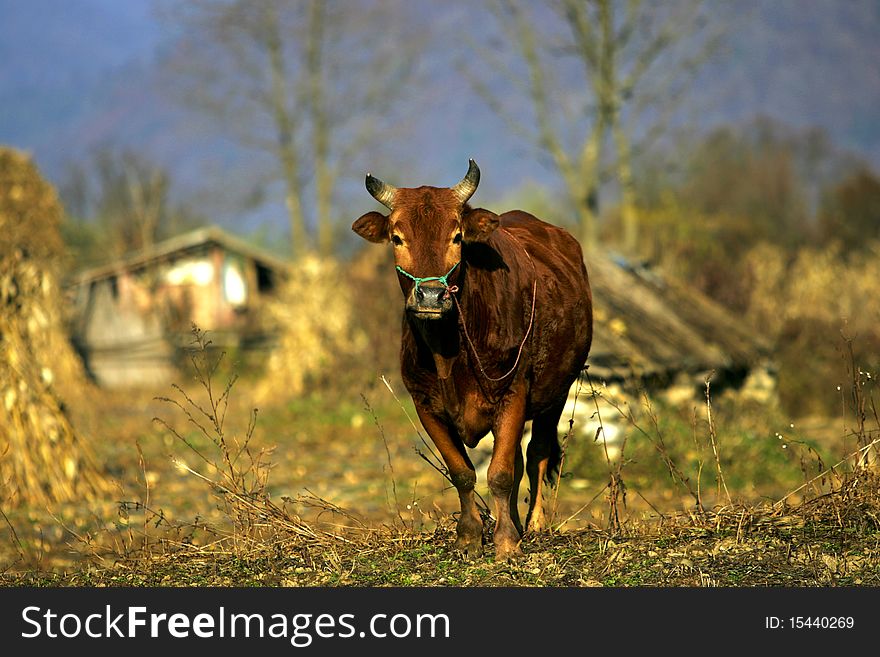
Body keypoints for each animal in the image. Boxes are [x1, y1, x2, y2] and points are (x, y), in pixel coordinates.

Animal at [354, 160, 596, 560]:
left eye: (456, 237)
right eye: (397, 238)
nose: (431, 296)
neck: (448, 352)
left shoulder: (514, 392)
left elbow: (499, 473)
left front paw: (507, 541)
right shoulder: (425, 403)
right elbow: (463, 472)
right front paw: (469, 536)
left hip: (557, 392)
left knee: (536, 454)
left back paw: (534, 524)